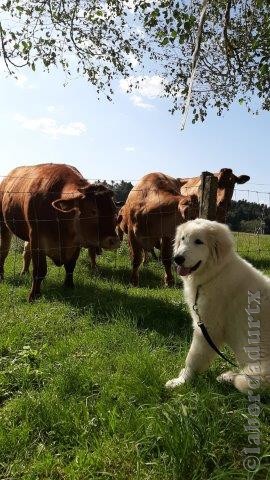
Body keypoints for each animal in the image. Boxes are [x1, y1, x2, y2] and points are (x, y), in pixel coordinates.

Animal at [0, 165, 120, 300]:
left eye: (114, 211)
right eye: (93, 211)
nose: (114, 241)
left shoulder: (76, 242)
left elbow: (70, 266)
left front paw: (69, 286)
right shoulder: (37, 239)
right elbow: (40, 270)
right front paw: (34, 295)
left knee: (26, 252)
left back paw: (24, 272)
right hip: (3, 225)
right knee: (4, 251)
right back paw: (2, 275)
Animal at [167, 219, 270, 392]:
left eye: (198, 242)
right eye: (182, 239)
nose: (177, 258)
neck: (215, 273)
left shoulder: (208, 328)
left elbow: (192, 358)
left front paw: (181, 381)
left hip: (260, 372)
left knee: (243, 381)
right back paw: (226, 377)